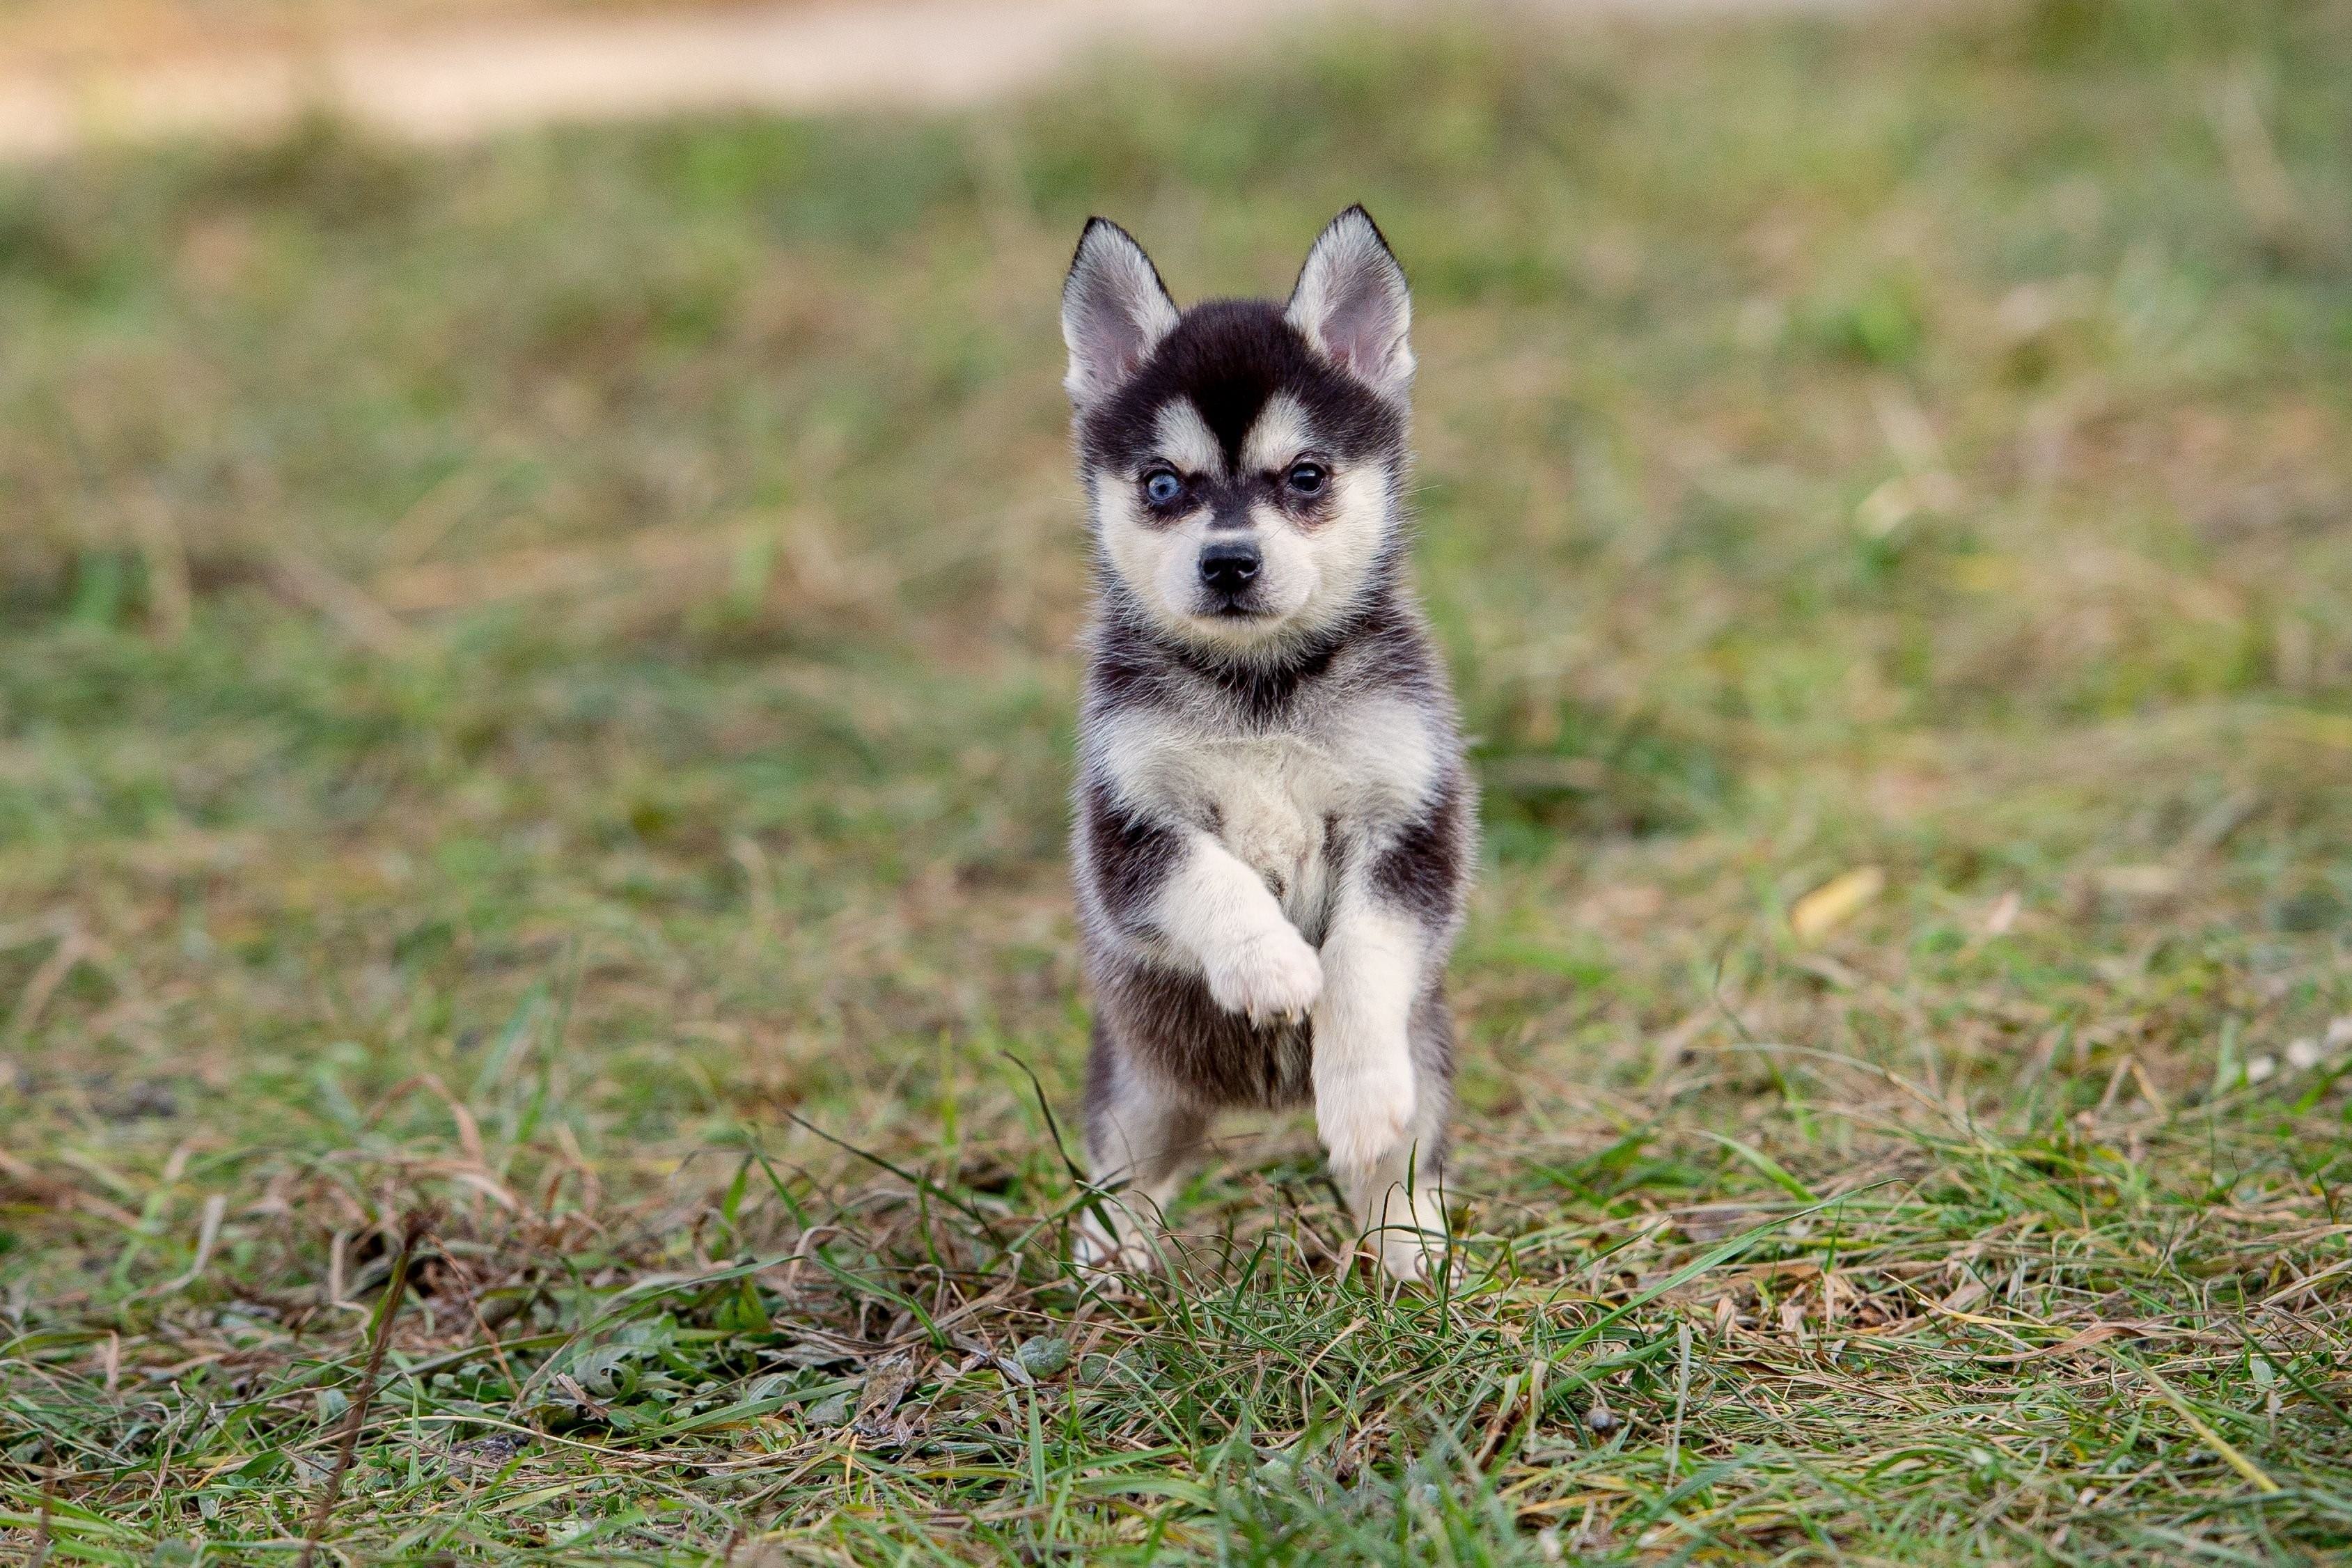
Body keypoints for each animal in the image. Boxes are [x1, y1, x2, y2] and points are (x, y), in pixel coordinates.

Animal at [1063, 205, 1467, 1288]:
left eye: (1306, 477)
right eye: (1163, 484)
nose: (1229, 562)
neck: (1262, 692)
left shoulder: (1411, 825)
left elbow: (1365, 952)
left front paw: (1355, 1083)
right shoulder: (1128, 832)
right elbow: (1213, 879)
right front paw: (1272, 967)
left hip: (1430, 1068)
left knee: (1398, 1164)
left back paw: (1411, 1253)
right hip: (1142, 1086)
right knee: (1125, 1175)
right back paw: (1107, 1267)